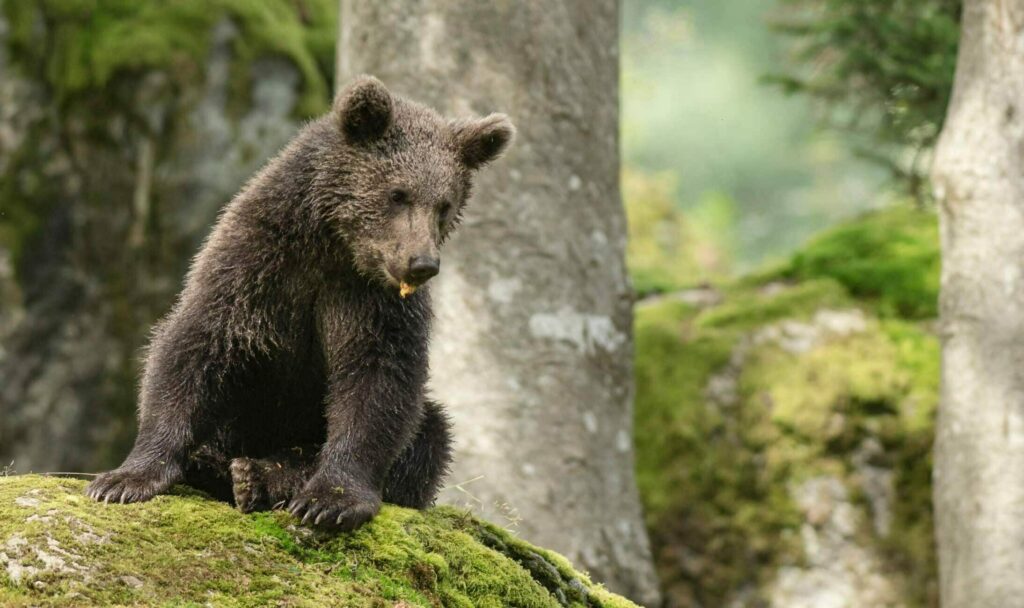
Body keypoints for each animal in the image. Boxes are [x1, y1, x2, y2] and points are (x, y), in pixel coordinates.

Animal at [85, 75, 515, 531]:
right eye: (398, 194)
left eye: (444, 205)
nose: (421, 264)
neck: (333, 247)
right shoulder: (254, 267)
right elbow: (194, 347)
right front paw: (124, 479)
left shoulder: (371, 303)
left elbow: (378, 383)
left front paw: (331, 500)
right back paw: (215, 465)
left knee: (429, 434)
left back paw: (256, 476)